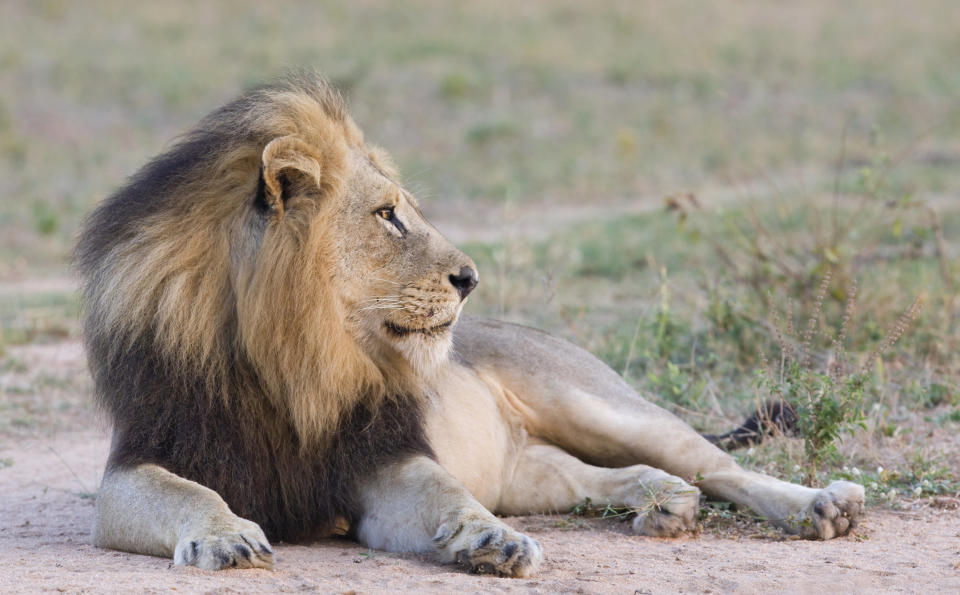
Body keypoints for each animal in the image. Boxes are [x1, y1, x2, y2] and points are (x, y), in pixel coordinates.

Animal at [79, 74, 868, 576]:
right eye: (388, 215)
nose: (471, 278)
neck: (293, 357)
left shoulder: (379, 457)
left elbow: (442, 491)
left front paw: (490, 541)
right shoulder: (135, 464)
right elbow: (191, 492)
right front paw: (226, 538)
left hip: (595, 402)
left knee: (717, 464)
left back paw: (822, 506)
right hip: (528, 468)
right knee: (617, 474)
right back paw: (663, 504)